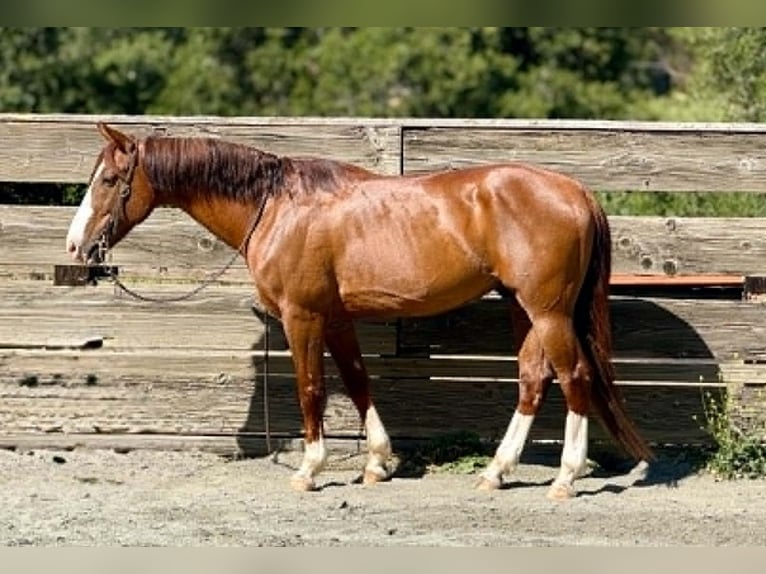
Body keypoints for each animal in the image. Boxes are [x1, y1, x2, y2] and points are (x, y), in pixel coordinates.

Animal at [66, 122, 653, 499]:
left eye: (110, 180)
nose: (76, 246)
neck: (276, 206)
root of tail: (576, 191)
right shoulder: (336, 317)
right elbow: (356, 381)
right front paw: (376, 461)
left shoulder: (302, 316)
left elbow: (312, 388)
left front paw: (310, 469)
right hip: (522, 308)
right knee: (533, 379)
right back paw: (496, 471)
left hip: (548, 312)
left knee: (574, 378)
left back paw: (565, 478)